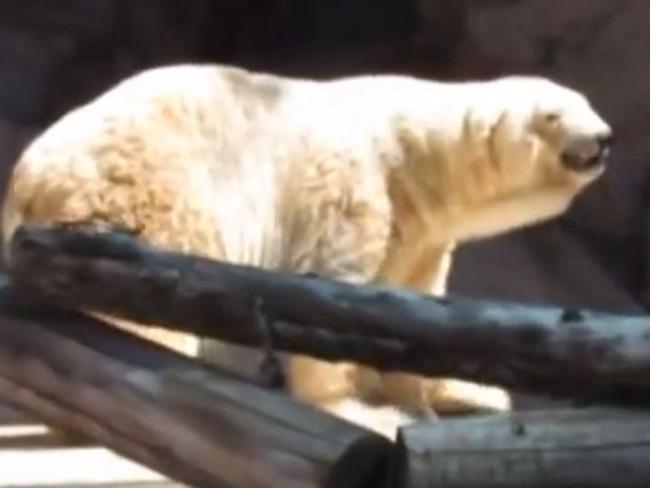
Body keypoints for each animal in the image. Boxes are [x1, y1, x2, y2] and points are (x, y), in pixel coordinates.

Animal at [0, 63, 612, 438]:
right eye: (556, 114)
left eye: (587, 101)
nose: (604, 137)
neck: (417, 156)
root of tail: (25, 179)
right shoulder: (357, 189)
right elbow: (334, 292)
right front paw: (362, 412)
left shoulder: (422, 232)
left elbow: (413, 304)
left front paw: (442, 393)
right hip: (147, 197)